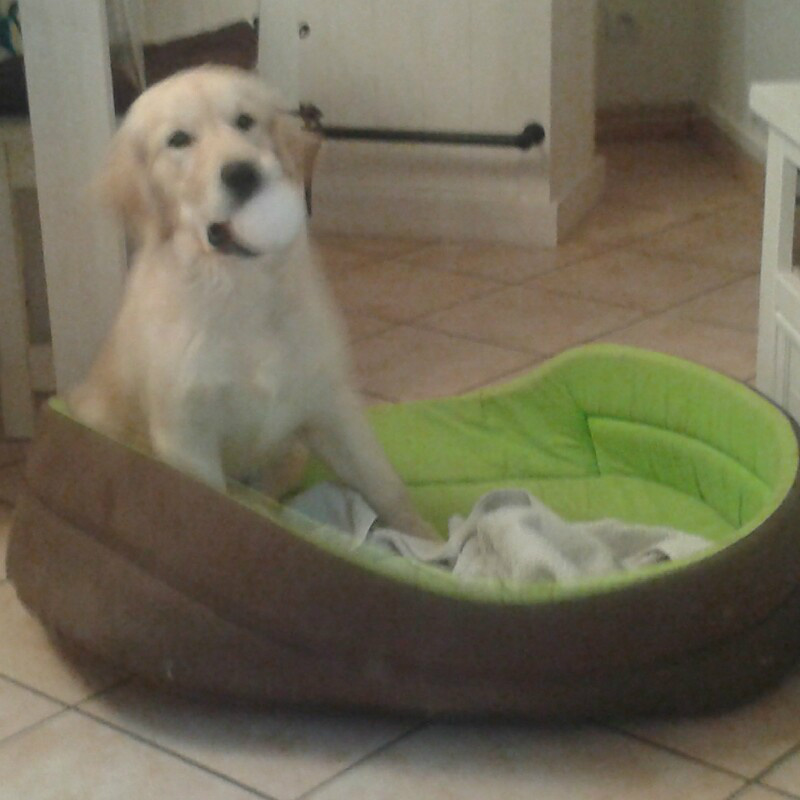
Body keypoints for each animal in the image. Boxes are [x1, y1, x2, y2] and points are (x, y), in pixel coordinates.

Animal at [69, 66, 436, 541]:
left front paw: (426, 541)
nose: (242, 173)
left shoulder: (331, 402)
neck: (242, 289)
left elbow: (383, 481)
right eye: (178, 140)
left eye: (245, 122)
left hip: (294, 452)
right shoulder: (186, 436)